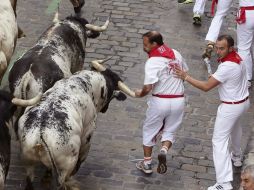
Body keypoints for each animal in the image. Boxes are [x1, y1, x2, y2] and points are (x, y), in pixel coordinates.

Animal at [18, 59, 136, 190]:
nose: (105, 109)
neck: (85, 83)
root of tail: (40, 133)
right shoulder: (87, 134)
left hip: (28, 162)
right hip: (65, 165)